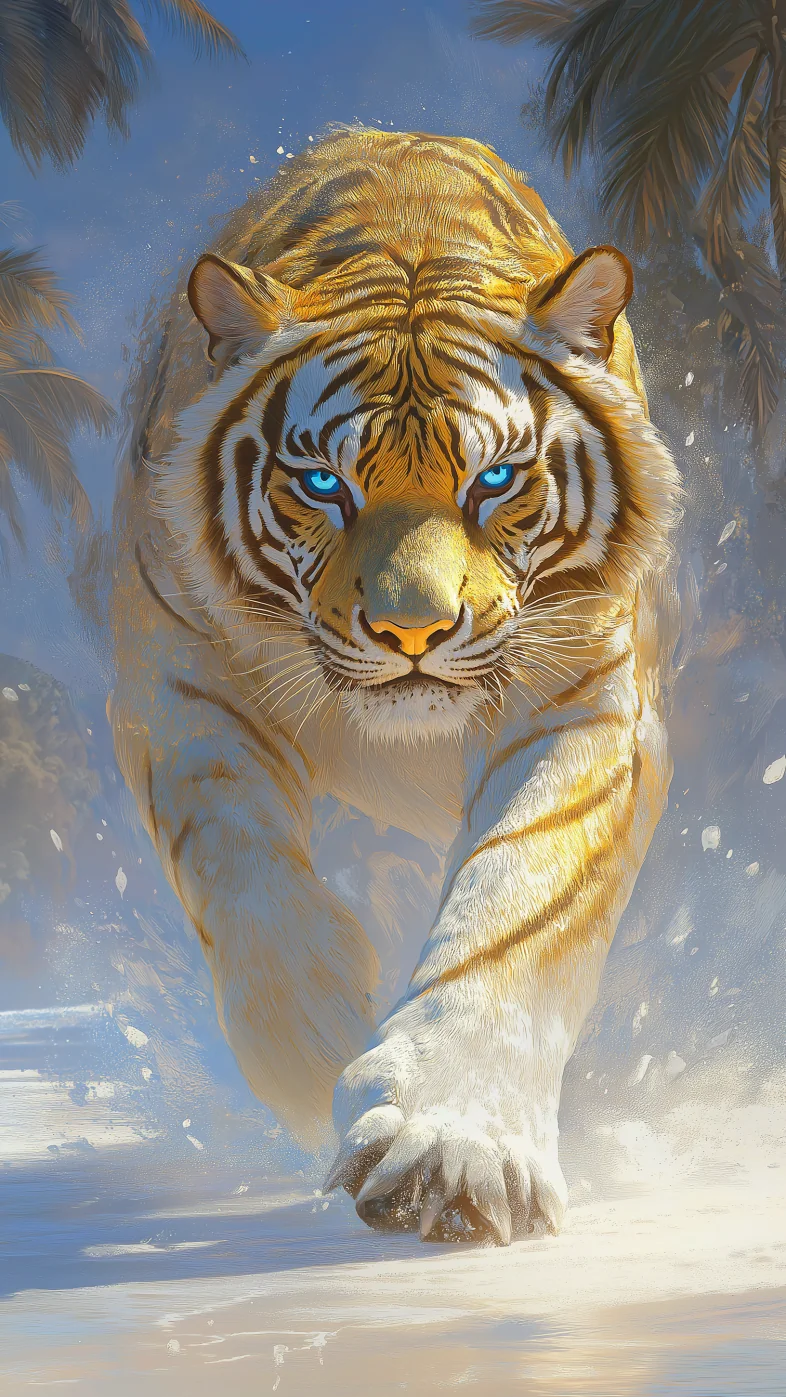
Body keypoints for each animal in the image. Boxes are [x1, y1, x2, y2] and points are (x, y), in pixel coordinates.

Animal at [110, 126, 679, 1245]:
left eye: (495, 480)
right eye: (323, 484)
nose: (412, 629)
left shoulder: (586, 703)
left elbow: (517, 901)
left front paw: (450, 1151)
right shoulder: (177, 686)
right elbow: (244, 877)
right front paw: (317, 1055)